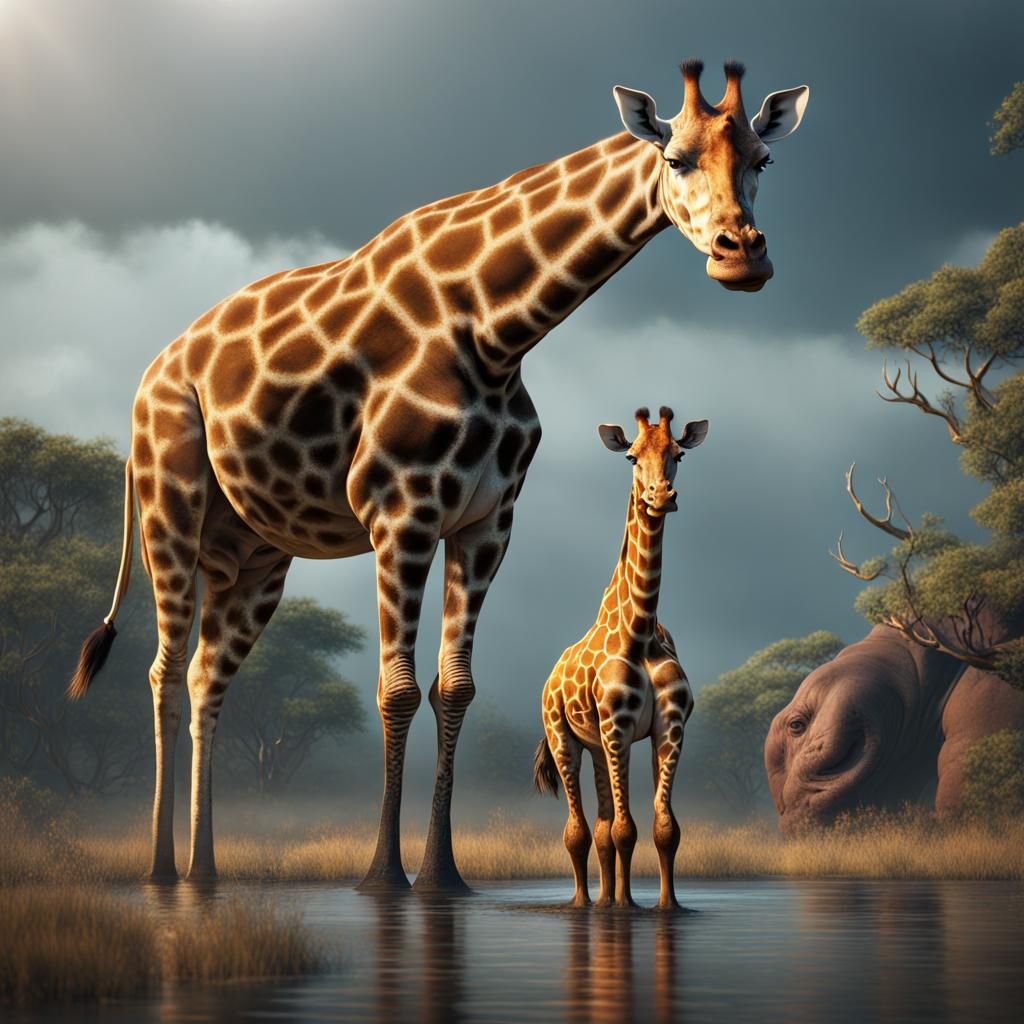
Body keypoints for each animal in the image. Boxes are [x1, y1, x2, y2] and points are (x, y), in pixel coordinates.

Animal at [534, 407, 704, 909]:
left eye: (678, 454)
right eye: (631, 457)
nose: (661, 496)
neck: (641, 630)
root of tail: (549, 678)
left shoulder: (669, 727)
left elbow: (664, 828)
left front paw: (667, 906)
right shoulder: (618, 728)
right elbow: (626, 830)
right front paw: (626, 907)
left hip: (594, 746)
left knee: (602, 825)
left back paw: (605, 898)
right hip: (564, 737)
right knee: (578, 829)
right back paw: (585, 902)